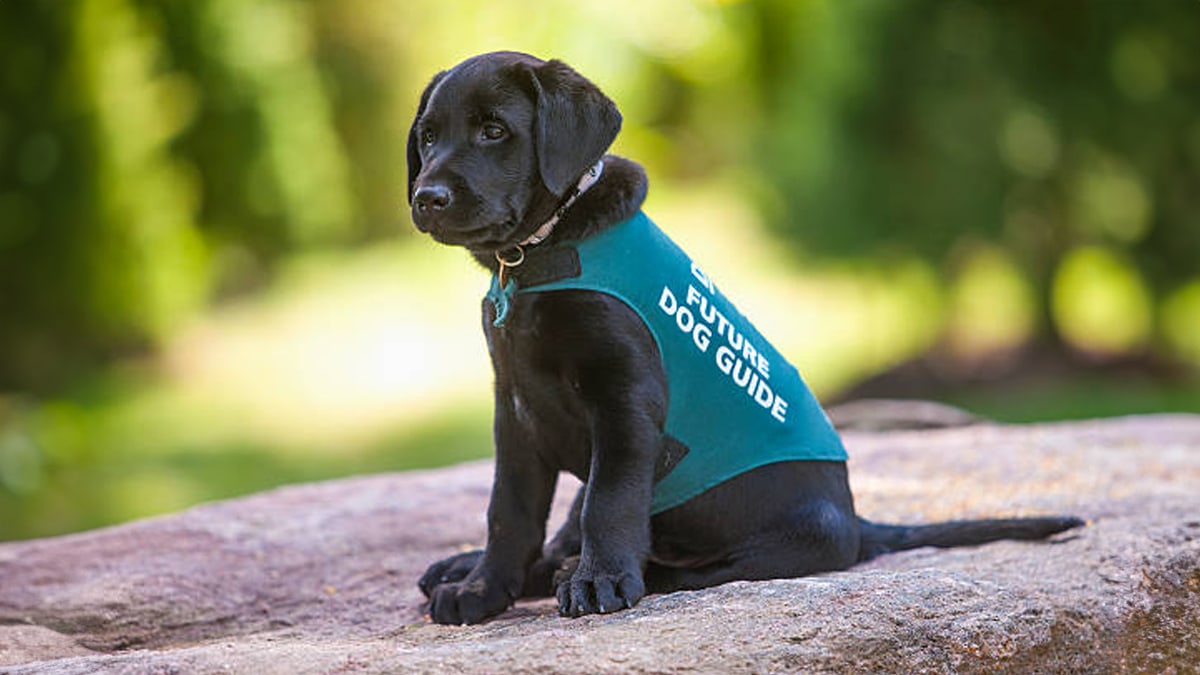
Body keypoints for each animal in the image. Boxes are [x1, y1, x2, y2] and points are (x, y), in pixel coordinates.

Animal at [408, 52, 1084, 624]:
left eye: (495, 130)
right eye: (428, 137)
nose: (426, 197)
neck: (536, 254)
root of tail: (857, 520)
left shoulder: (625, 401)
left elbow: (610, 501)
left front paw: (599, 580)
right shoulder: (517, 411)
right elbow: (509, 511)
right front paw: (482, 588)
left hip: (783, 541)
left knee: (686, 568)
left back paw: (600, 572)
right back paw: (481, 568)